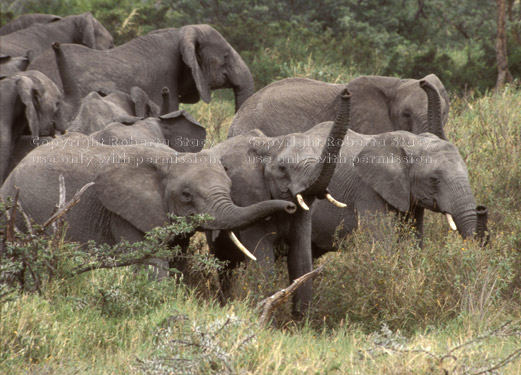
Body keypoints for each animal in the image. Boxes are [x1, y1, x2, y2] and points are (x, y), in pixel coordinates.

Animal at [1, 132, 296, 276]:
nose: (291, 206)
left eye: (229, 186)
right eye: (186, 195)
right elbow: (152, 262)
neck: (169, 160)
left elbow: (177, 261)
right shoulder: (124, 214)